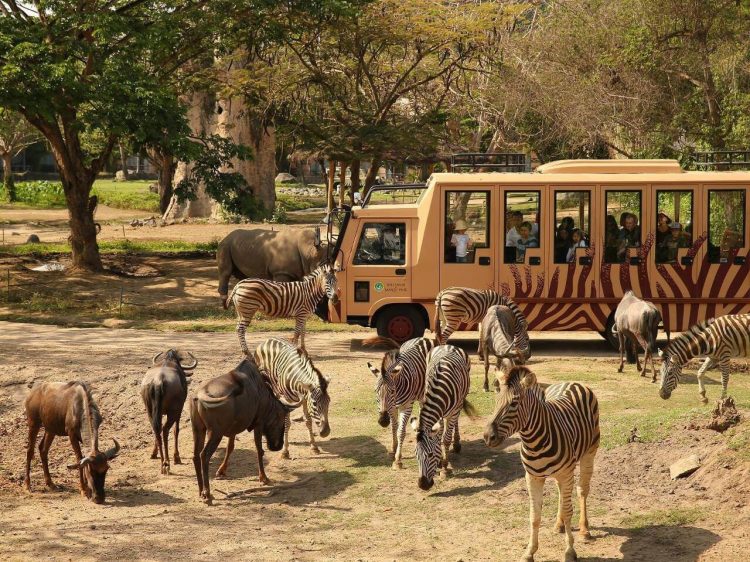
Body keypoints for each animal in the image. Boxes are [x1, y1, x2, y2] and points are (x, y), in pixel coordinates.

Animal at [366, 336, 438, 468]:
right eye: (375, 391)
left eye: (392, 391)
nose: (383, 421)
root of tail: (423, 338)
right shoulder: (392, 407)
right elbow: (394, 427)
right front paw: (393, 449)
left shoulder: (406, 406)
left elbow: (401, 431)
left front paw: (398, 459)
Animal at [412, 344, 470, 488]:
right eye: (415, 455)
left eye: (430, 455)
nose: (423, 485)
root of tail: (448, 345)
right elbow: (438, 437)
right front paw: (440, 461)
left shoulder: (454, 411)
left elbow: (446, 439)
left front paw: (444, 468)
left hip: (460, 402)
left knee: (455, 422)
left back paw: (457, 444)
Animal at [484, 364, 604, 560]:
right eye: (496, 401)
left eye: (514, 404)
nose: (488, 437)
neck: (534, 442)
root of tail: (572, 381)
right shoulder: (532, 477)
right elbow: (534, 516)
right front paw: (529, 552)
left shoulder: (565, 473)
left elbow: (569, 511)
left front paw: (569, 551)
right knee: (562, 493)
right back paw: (559, 524)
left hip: (589, 452)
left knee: (582, 490)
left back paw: (585, 530)